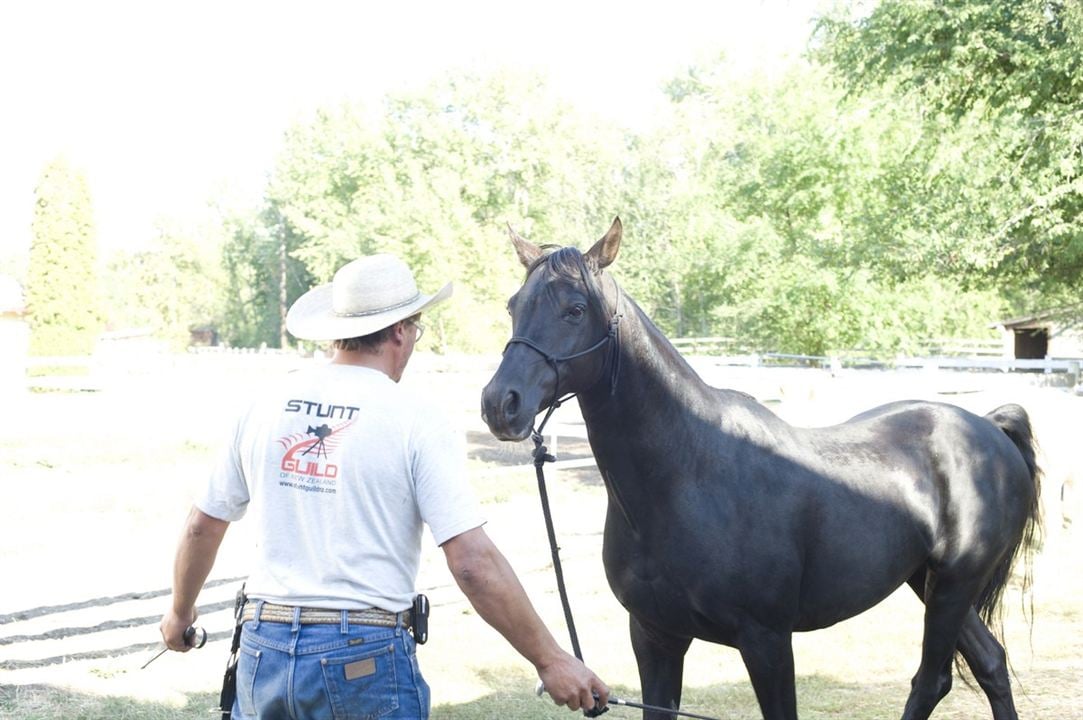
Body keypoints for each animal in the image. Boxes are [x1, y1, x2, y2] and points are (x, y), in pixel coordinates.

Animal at [480, 218, 1039, 718]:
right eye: (513, 306)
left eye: (575, 309)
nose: (499, 404)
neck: (685, 477)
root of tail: (988, 427)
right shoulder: (655, 636)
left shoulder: (767, 642)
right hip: (931, 582)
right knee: (991, 664)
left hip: (954, 585)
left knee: (933, 680)